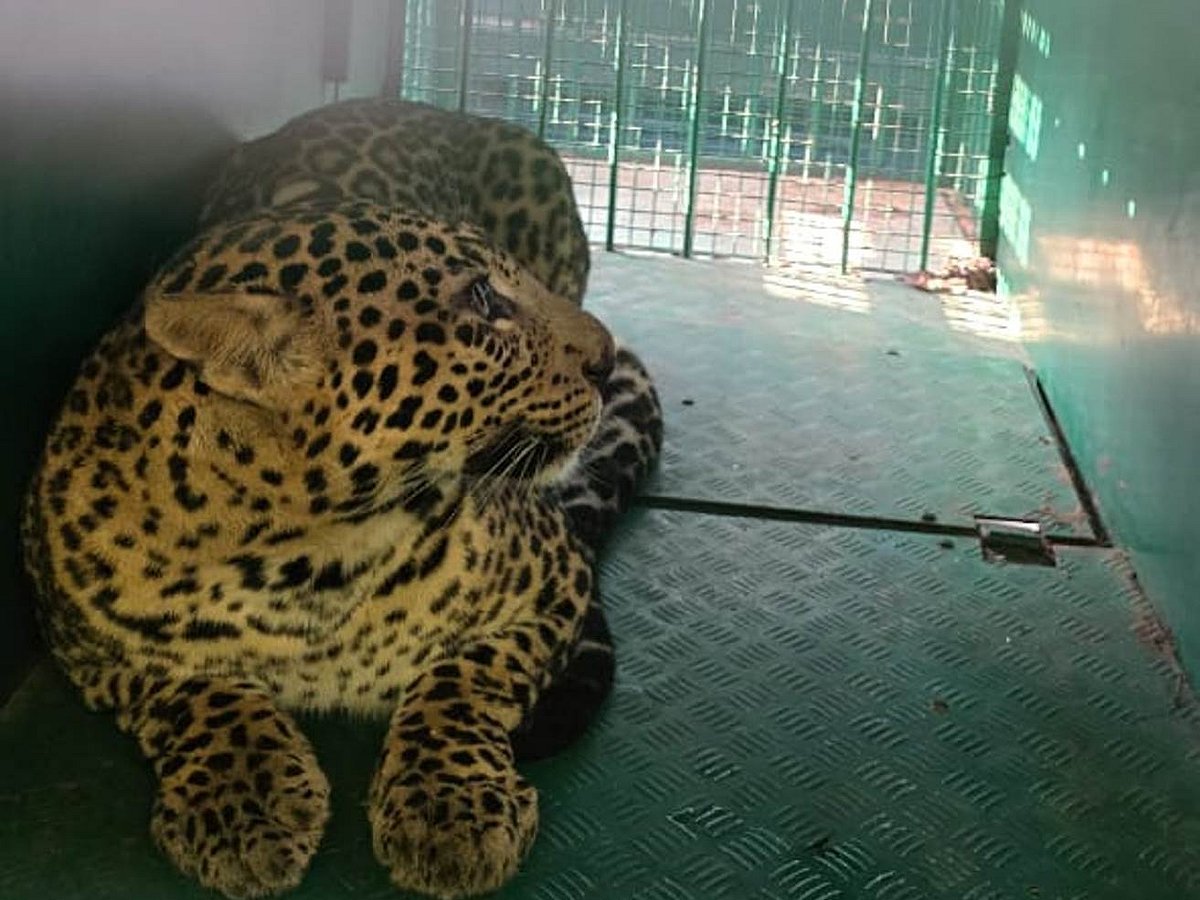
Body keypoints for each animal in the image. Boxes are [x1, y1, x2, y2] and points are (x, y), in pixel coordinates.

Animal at [21, 98, 662, 900]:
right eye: (482, 299)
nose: (605, 357)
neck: (309, 563)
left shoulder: (551, 585)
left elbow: (464, 678)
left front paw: (451, 807)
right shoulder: (85, 640)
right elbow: (193, 690)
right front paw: (244, 803)